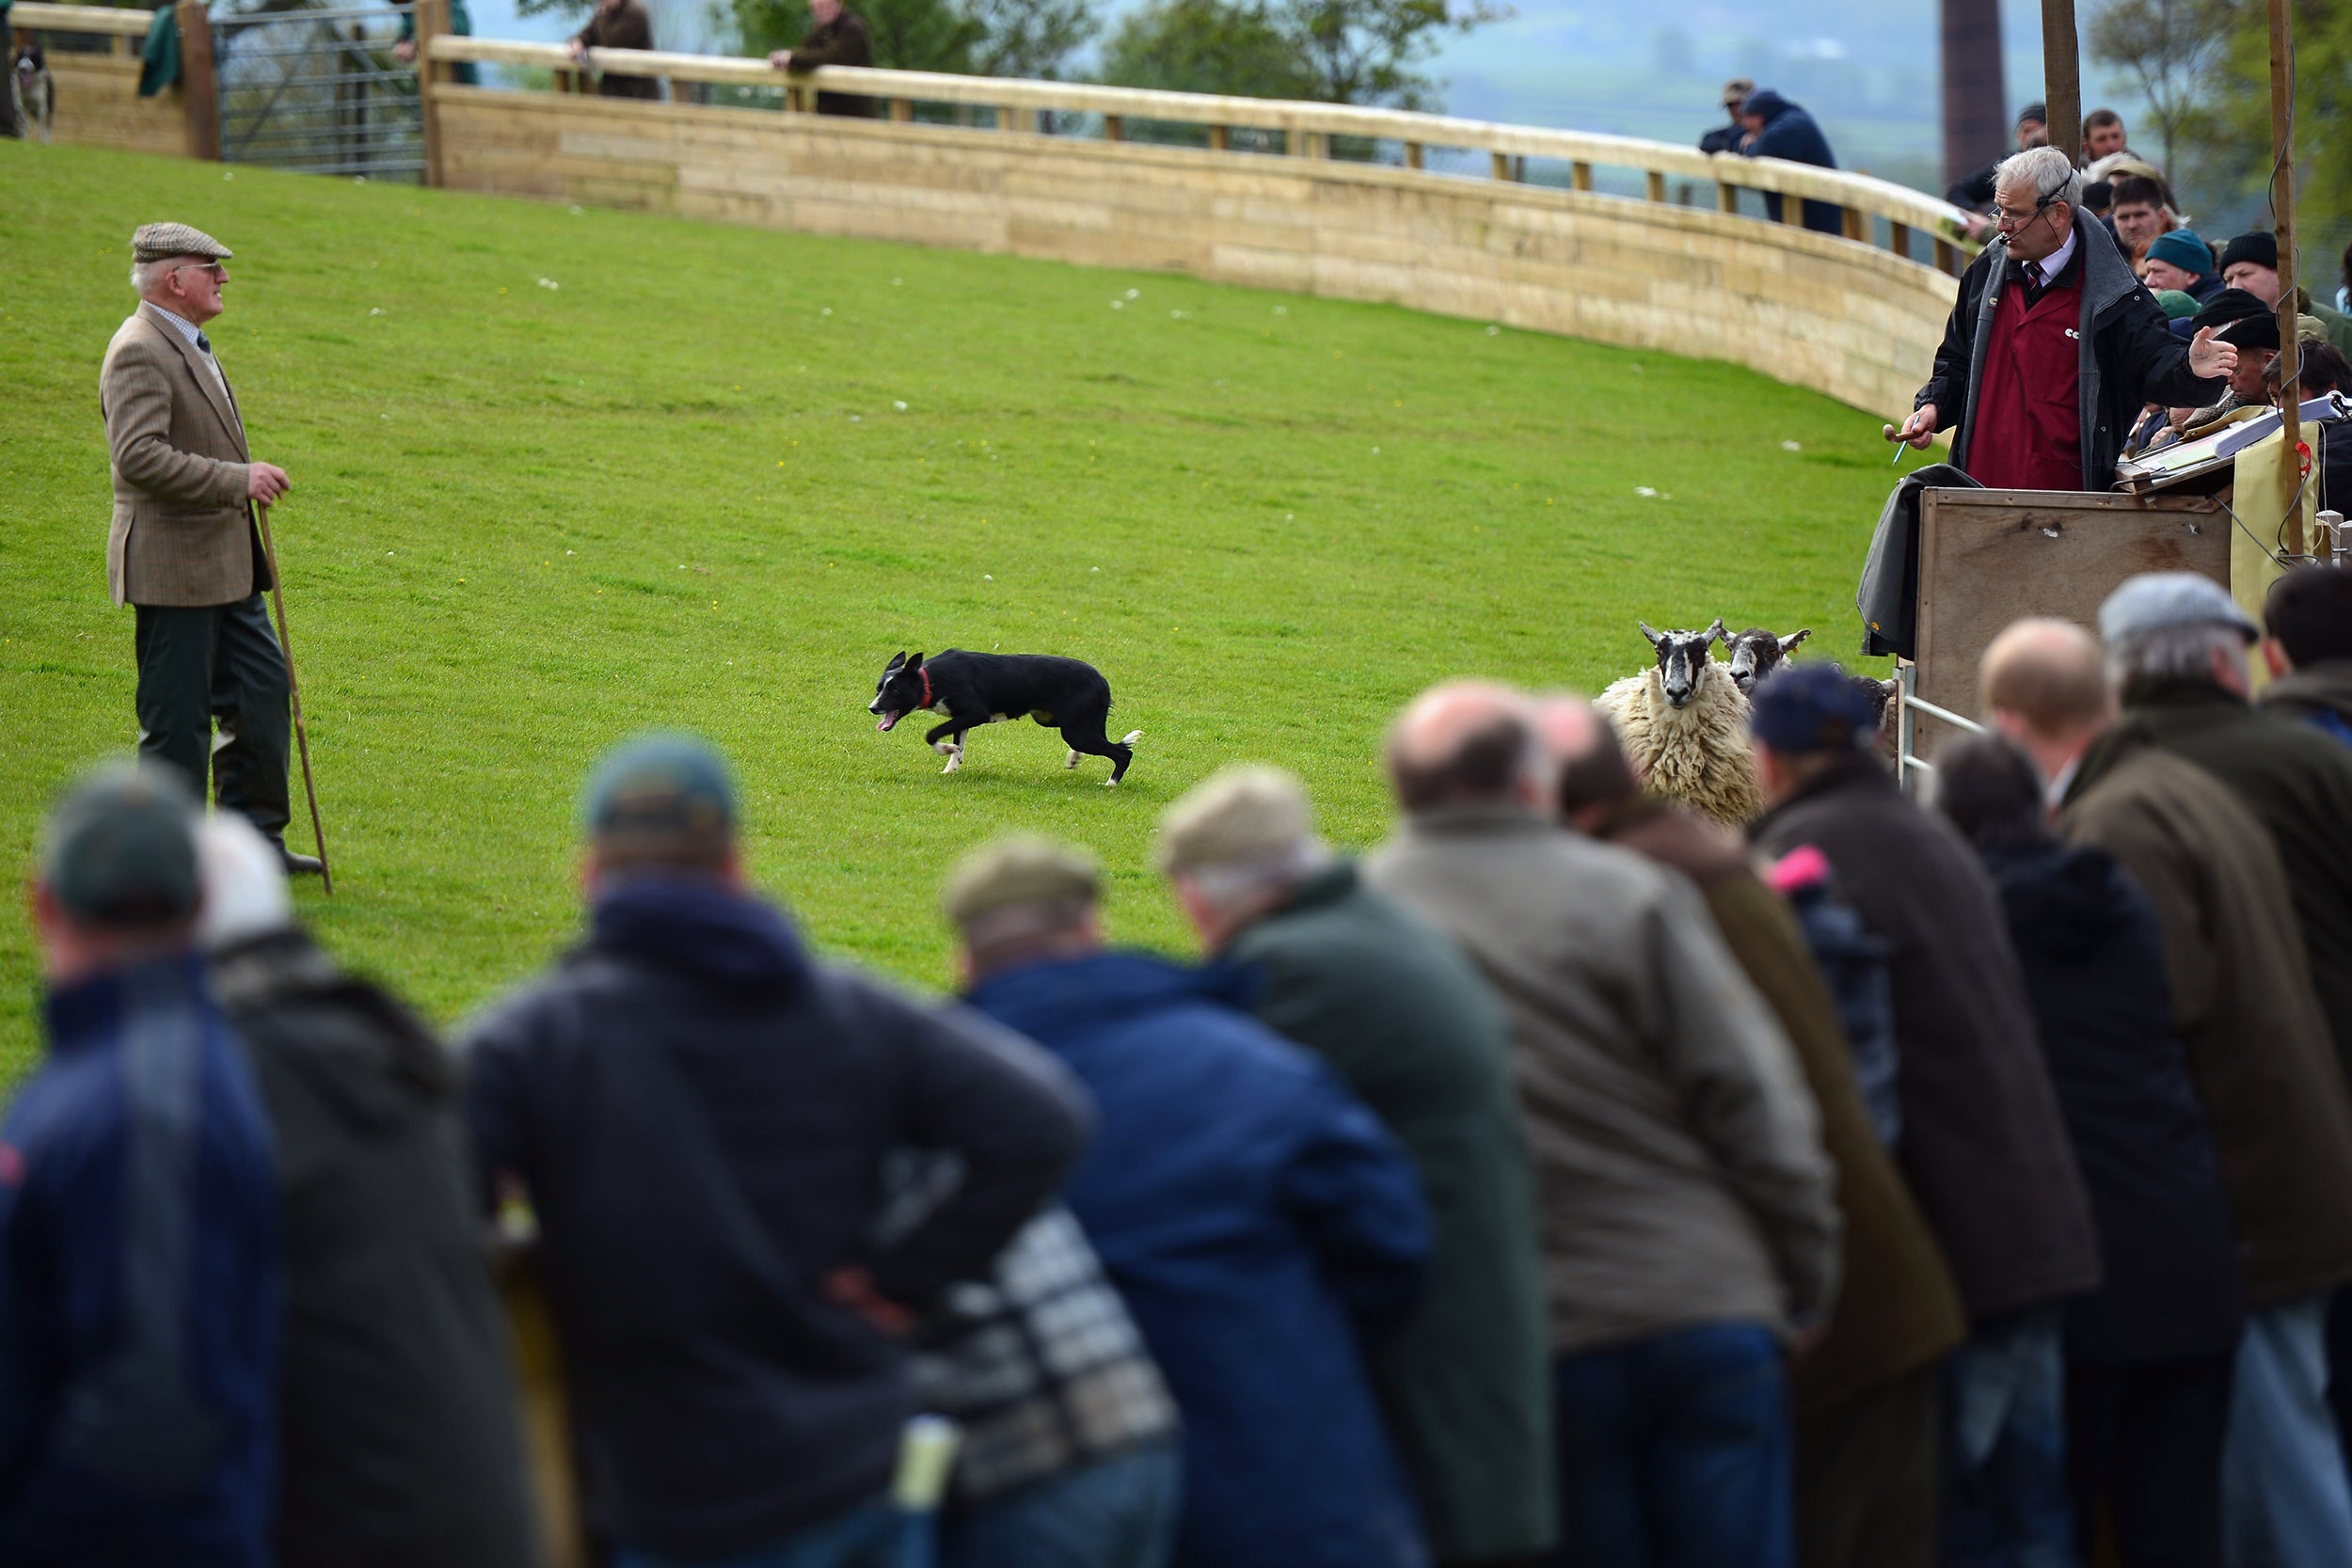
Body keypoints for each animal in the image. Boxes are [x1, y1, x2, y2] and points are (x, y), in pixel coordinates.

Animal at [875, 648, 1148, 784]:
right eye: (879, 688)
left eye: (895, 691)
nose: (872, 708)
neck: (930, 680)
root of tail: (1102, 681)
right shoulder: (962, 717)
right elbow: (958, 743)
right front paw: (952, 764)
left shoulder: (976, 713)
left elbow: (932, 734)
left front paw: (946, 750)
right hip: (1058, 721)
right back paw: (1074, 758)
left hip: (1075, 730)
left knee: (1122, 753)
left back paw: (1111, 784)